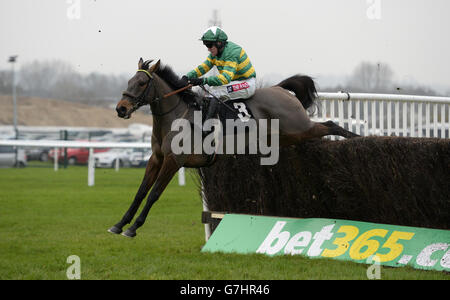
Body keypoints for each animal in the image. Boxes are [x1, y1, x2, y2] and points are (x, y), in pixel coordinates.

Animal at [107, 58, 356, 237]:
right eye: (129, 81)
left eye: (141, 83)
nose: (121, 108)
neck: (176, 116)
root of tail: (280, 89)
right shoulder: (156, 158)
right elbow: (141, 192)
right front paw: (119, 224)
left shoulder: (173, 161)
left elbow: (154, 194)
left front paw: (133, 228)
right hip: (287, 137)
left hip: (299, 127)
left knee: (330, 124)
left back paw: (356, 138)